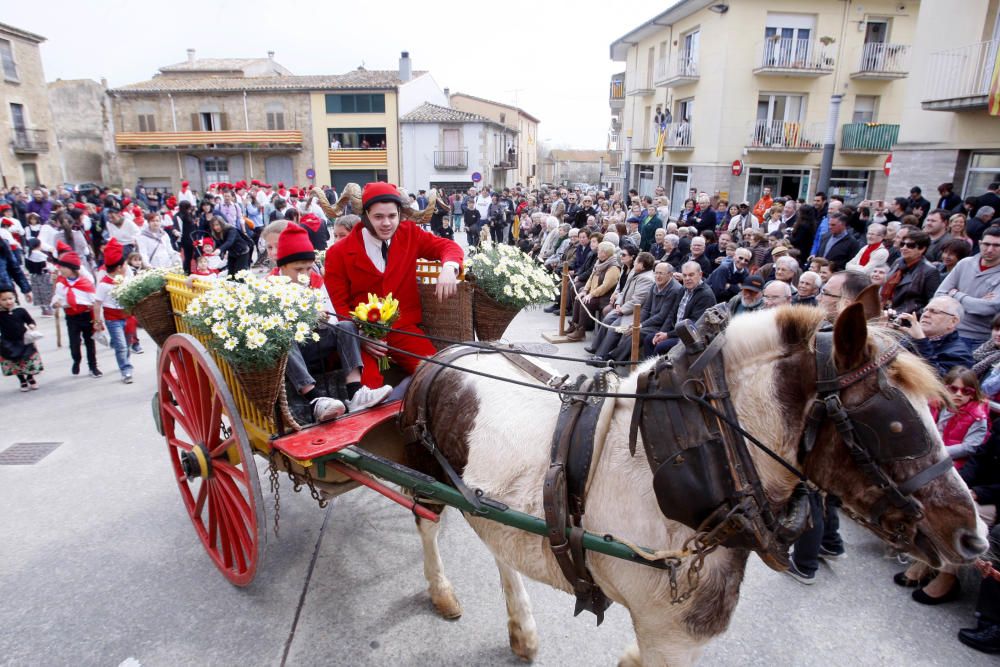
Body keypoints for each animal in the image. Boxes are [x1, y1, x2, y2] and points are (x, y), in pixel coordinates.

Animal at [402, 304, 988, 667]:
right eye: (894, 426)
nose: (974, 536)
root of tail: (445, 354)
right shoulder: (670, 632)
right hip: (427, 473)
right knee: (426, 523)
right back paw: (443, 591)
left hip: (492, 500)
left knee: (498, 541)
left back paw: (522, 630)